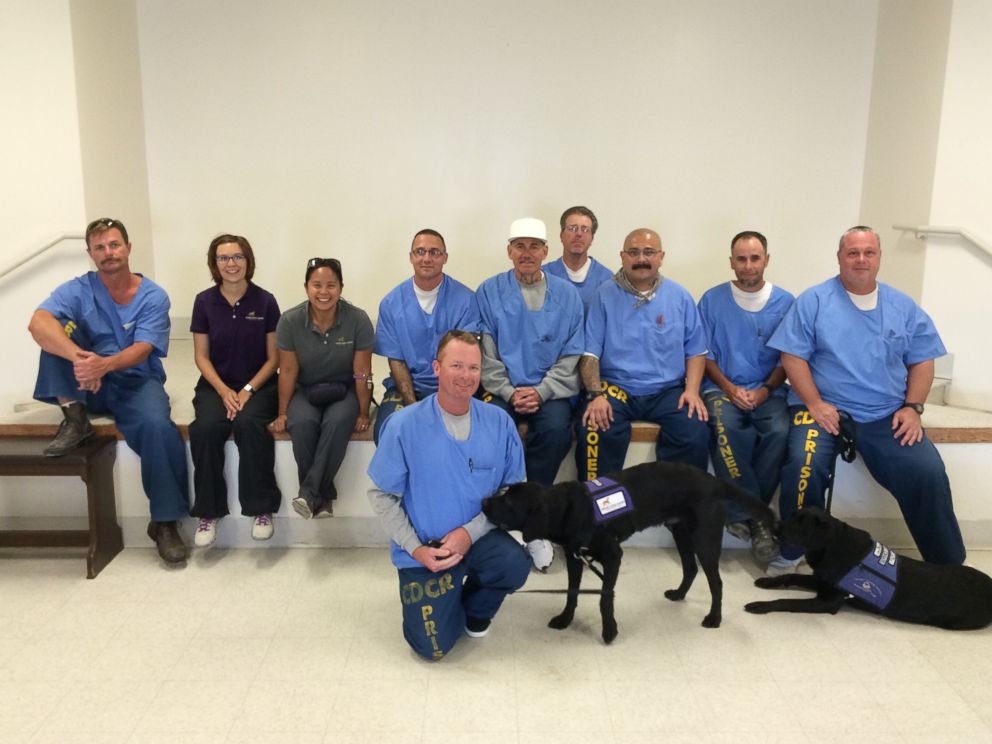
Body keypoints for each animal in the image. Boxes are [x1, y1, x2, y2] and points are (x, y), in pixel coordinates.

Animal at [480, 460, 776, 640]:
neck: (569, 509)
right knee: (690, 568)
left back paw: (714, 618)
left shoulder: (613, 557)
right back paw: (679, 594)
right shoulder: (575, 558)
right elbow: (572, 593)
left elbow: (604, 598)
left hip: (704, 538)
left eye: (508, 501)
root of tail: (714, 481)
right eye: (503, 491)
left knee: (716, 582)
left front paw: (609, 631)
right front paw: (565, 619)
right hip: (680, 531)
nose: (483, 501)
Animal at [744, 506, 992, 628]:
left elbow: (787, 601)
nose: (774, 527)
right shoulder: (822, 580)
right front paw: (767, 581)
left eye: (800, 526)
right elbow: (791, 578)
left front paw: (760, 605)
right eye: (793, 516)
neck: (833, 547)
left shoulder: (827, 601)